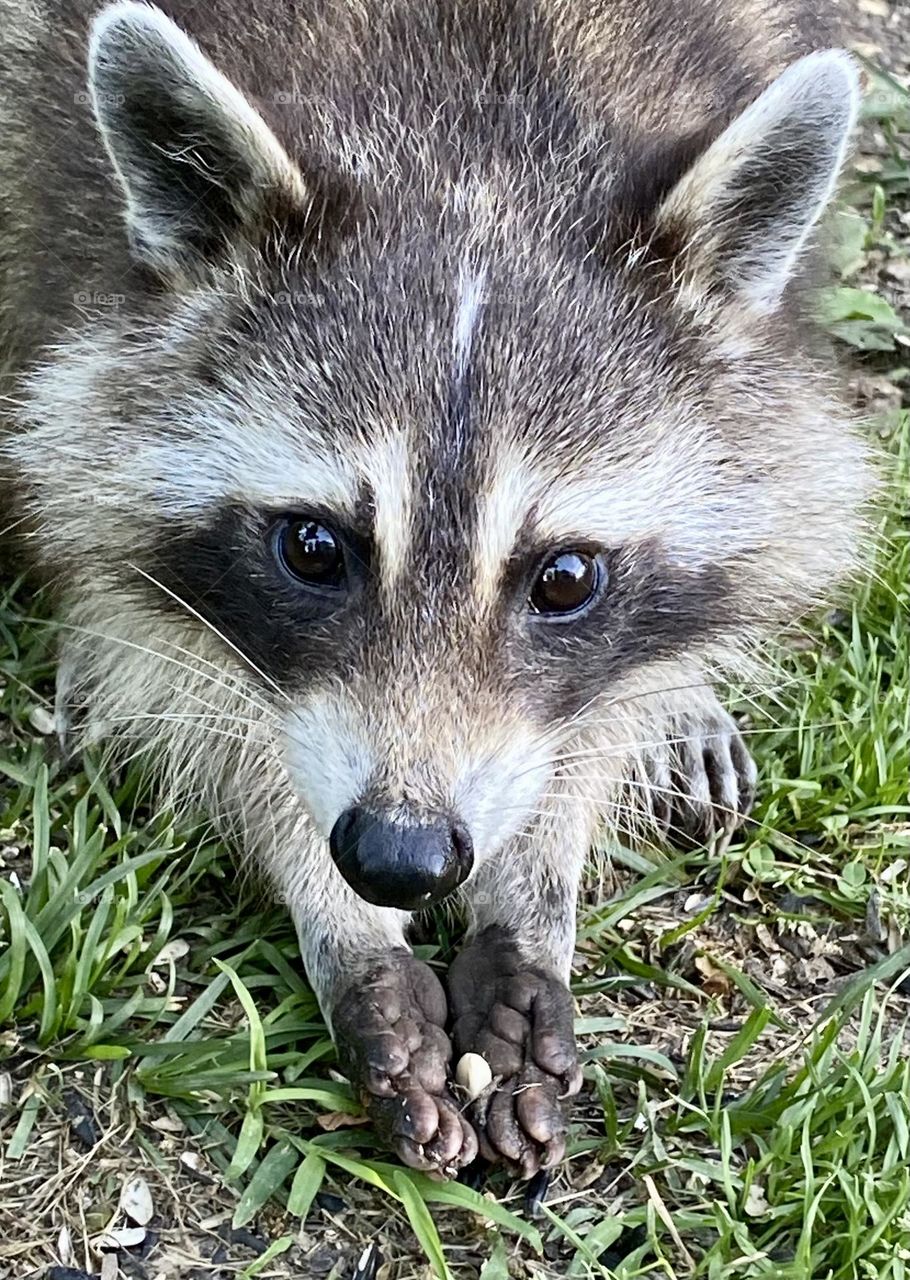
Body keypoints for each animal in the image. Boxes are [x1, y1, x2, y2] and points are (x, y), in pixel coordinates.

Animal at [0, 0, 875, 1177]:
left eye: (564, 576)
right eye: (313, 549)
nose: (399, 858)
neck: (472, 143)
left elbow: (581, 719)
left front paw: (533, 893)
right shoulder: (68, 240)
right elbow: (196, 674)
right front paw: (339, 914)